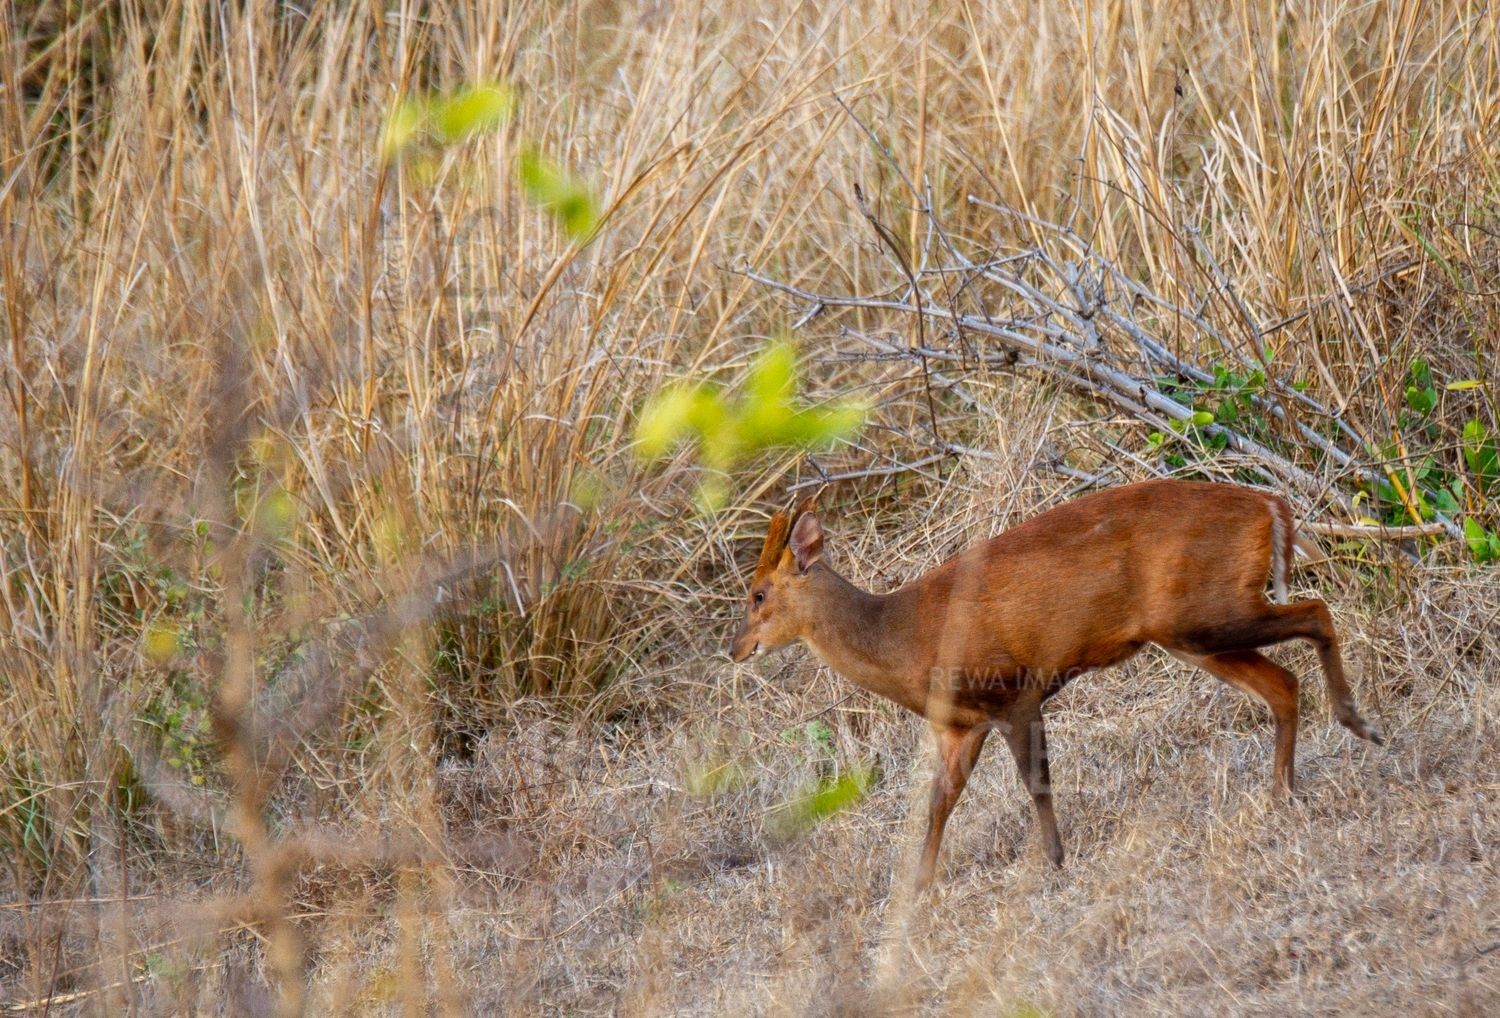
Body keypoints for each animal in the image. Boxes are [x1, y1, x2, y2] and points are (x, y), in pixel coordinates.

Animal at [729, 479, 1383, 890]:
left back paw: (1357, 724)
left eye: (758, 594)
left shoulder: (1014, 690)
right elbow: (940, 801)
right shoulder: (960, 727)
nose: (734, 649)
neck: (903, 638)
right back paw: (1284, 790)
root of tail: (1272, 506)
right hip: (1192, 631)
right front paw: (918, 887)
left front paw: (1055, 860)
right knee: (1283, 682)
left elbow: (1036, 781)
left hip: (1204, 613)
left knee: (1317, 613)